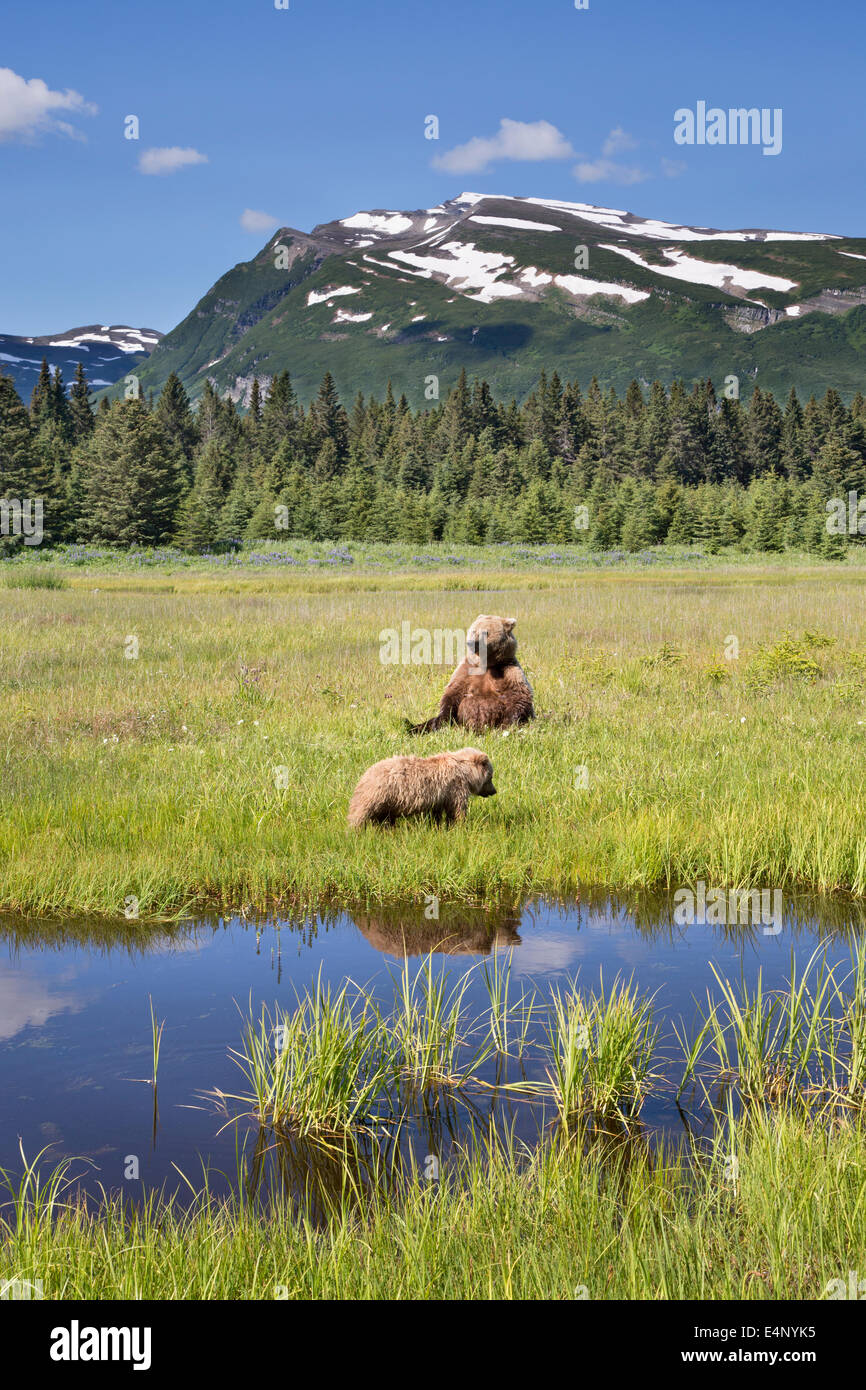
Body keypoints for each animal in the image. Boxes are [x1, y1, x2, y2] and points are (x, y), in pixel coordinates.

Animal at [346, 750, 494, 822]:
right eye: (491, 777)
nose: (494, 791)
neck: (466, 772)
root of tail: (364, 776)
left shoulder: (440, 796)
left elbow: (437, 814)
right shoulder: (456, 787)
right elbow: (458, 809)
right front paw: (460, 824)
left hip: (386, 803)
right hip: (376, 796)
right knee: (359, 815)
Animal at [408, 611, 536, 733]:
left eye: (485, 633)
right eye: (474, 631)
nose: (471, 643)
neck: (486, 664)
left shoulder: (508, 669)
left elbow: (519, 696)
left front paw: (507, 724)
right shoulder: (466, 670)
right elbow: (452, 693)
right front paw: (442, 721)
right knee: (426, 723)